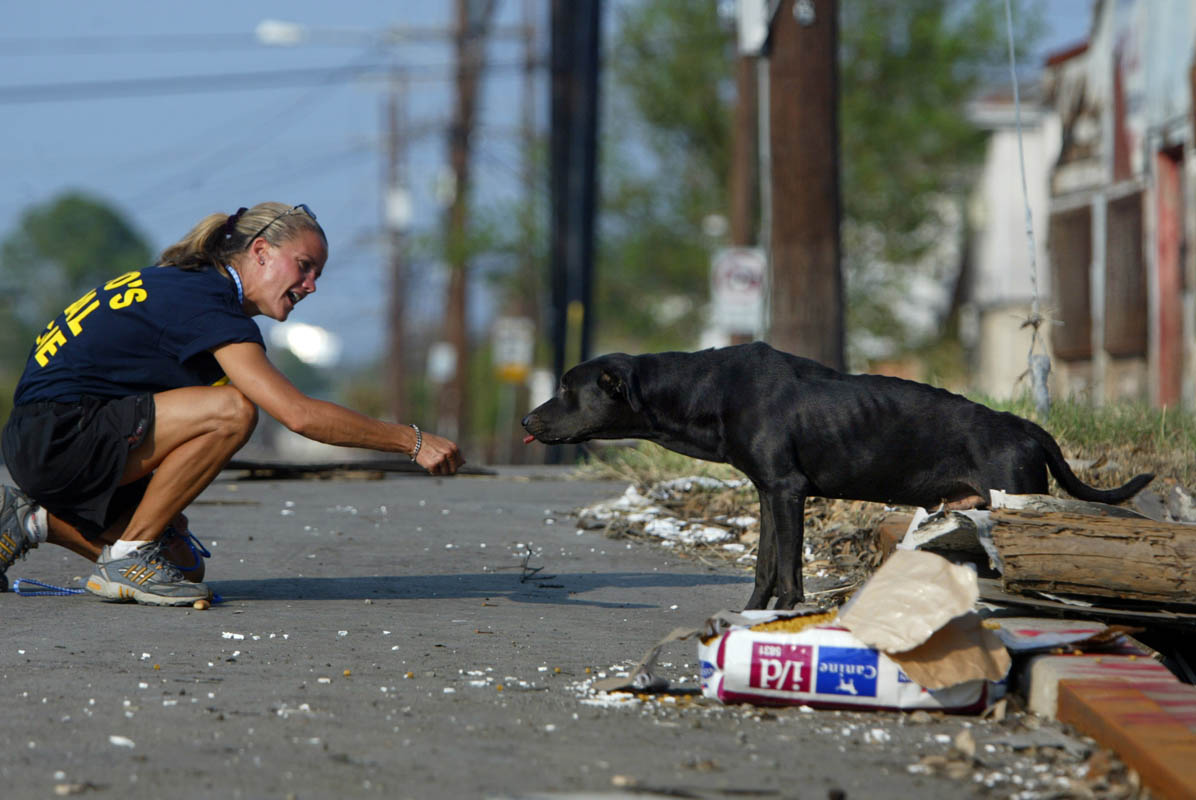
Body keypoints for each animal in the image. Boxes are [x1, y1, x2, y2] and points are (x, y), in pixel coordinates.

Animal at [519, 339, 1152, 607]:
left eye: (567, 388)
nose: (526, 419)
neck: (709, 388)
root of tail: (1026, 427)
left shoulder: (787, 491)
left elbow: (790, 573)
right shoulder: (769, 493)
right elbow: (765, 567)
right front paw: (751, 615)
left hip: (1017, 500)